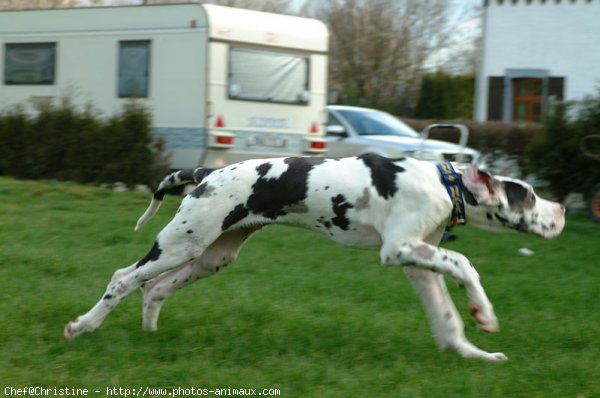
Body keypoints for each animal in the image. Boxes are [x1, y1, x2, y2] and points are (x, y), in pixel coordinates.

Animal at [67, 155, 568, 360]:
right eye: (529, 195)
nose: (562, 210)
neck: (443, 184)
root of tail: (209, 171)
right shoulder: (399, 250)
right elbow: (466, 264)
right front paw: (485, 312)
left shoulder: (418, 265)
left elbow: (447, 321)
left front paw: (473, 354)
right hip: (179, 245)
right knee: (124, 278)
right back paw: (83, 326)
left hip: (211, 257)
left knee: (153, 289)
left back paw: (151, 335)